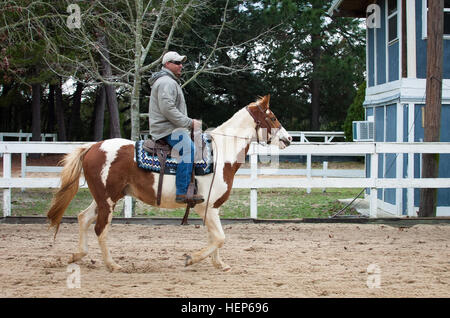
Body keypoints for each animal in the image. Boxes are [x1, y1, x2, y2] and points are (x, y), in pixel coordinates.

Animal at [46, 94, 292, 270]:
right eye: (272, 117)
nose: (288, 139)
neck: (220, 153)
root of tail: (92, 147)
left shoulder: (212, 208)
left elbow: (215, 237)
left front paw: (219, 263)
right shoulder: (205, 206)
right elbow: (219, 238)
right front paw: (191, 259)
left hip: (104, 197)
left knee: (83, 218)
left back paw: (77, 255)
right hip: (107, 200)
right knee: (100, 228)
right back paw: (112, 264)